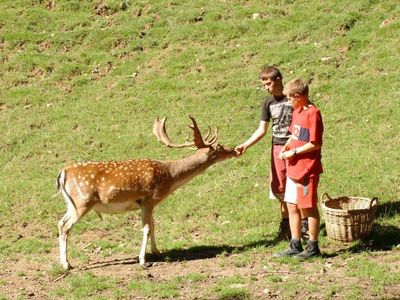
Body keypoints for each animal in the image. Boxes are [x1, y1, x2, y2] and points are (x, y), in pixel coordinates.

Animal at [57, 115, 238, 270]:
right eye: (219, 147)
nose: (234, 150)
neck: (170, 176)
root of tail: (63, 173)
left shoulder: (148, 204)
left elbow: (153, 225)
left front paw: (156, 252)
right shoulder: (149, 199)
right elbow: (146, 228)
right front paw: (143, 260)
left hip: (72, 205)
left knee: (60, 223)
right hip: (83, 202)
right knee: (65, 226)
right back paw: (67, 264)